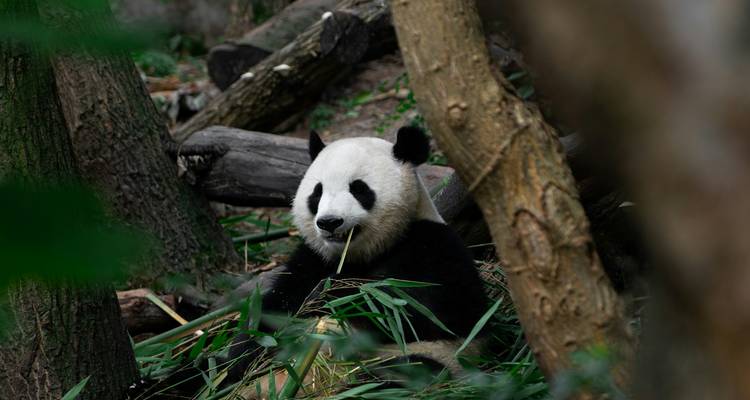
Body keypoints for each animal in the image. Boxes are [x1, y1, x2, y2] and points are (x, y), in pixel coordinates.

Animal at [227, 126, 489, 386]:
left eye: (359, 188)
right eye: (317, 192)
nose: (329, 222)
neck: (360, 254)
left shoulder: (433, 244)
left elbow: (434, 309)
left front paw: (333, 293)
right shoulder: (313, 258)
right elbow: (273, 312)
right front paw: (236, 362)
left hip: (431, 359)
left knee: (408, 371)